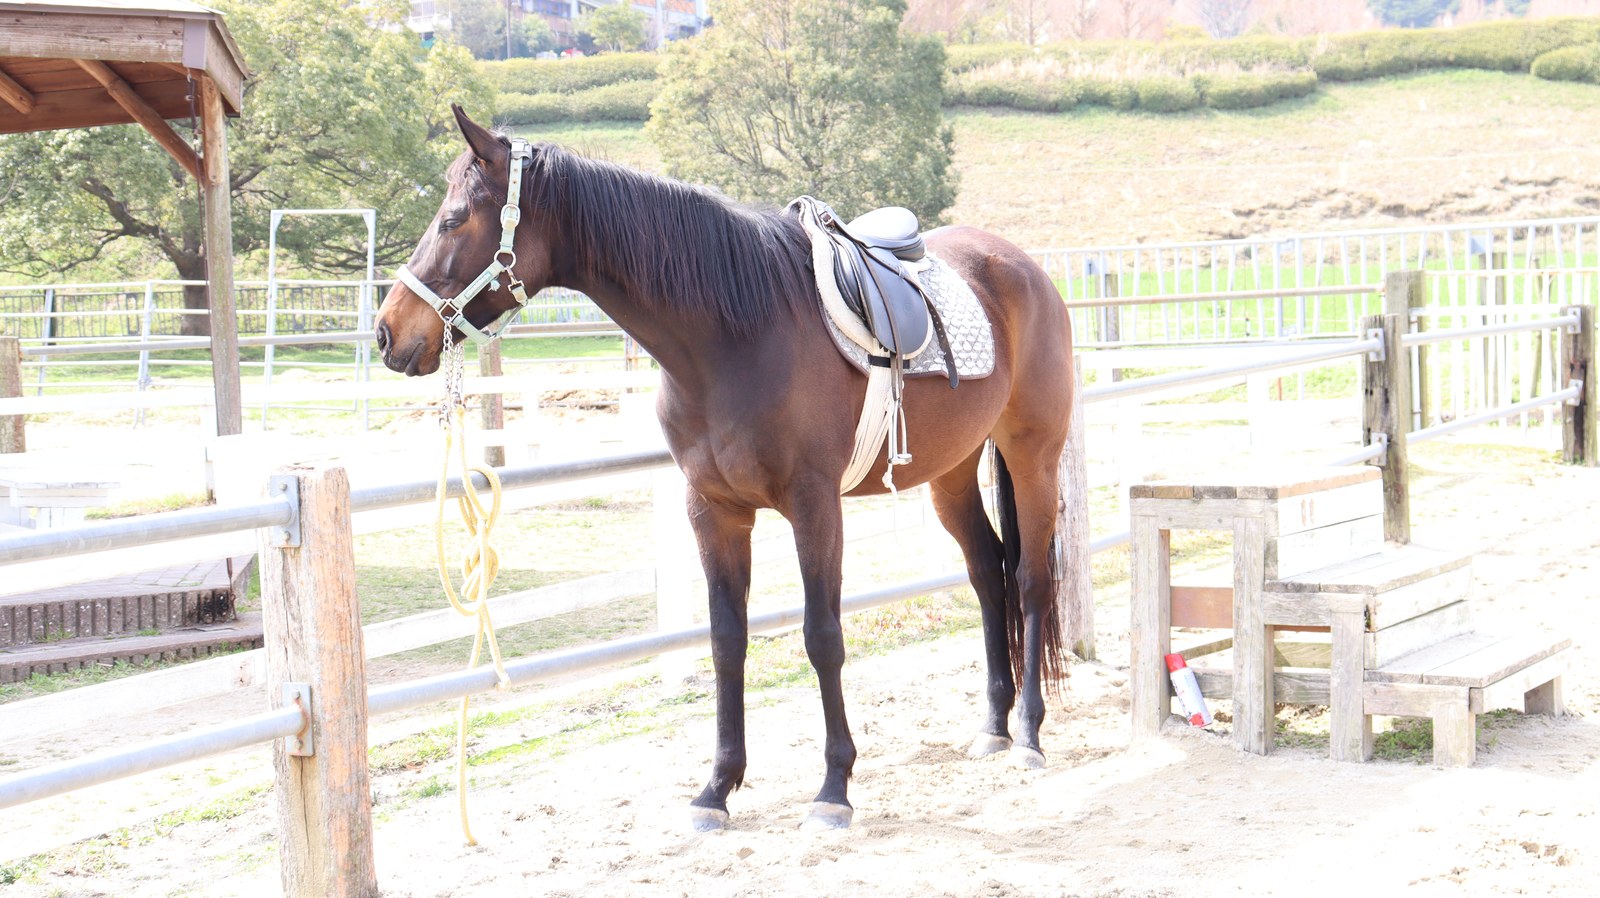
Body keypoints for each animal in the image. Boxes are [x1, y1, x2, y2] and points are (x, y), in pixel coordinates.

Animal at [374, 106, 1077, 832]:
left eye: (454, 219)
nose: (387, 332)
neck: (736, 335)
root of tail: (1024, 268)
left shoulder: (814, 506)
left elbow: (822, 636)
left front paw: (834, 788)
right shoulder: (713, 510)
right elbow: (725, 640)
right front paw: (717, 787)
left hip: (1033, 456)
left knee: (1029, 579)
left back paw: (1028, 733)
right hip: (951, 472)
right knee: (987, 572)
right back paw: (992, 726)